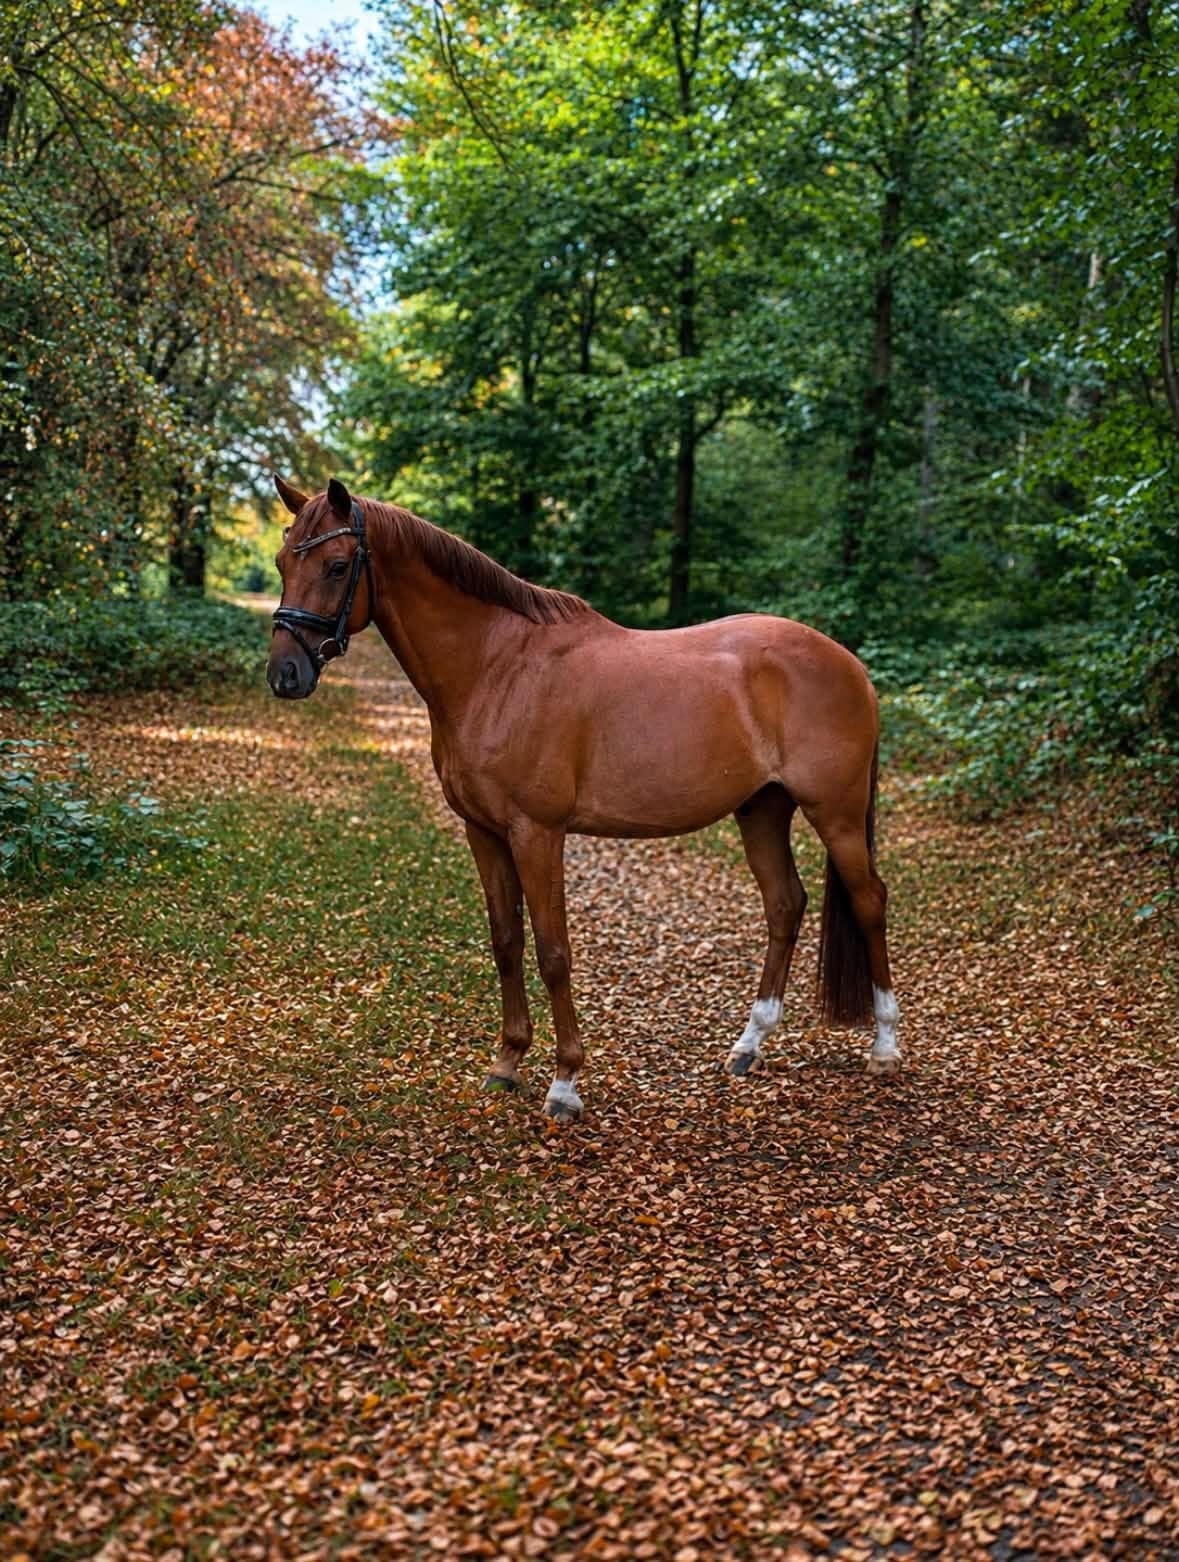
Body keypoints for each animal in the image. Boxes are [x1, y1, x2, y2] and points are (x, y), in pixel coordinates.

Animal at [267, 475, 901, 1120]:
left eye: (337, 565)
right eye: (281, 563)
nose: (285, 675)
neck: (497, 667)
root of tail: (850, 664)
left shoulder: (537, 832)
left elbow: (553, 951)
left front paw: (565, 1083)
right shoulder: (484, 831)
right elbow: (506, 942)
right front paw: (507, 1063)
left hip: (836, 814)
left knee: (869, 901)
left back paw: (884, 1048)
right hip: (763, 809)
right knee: (785, 905)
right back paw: (749, 1046)